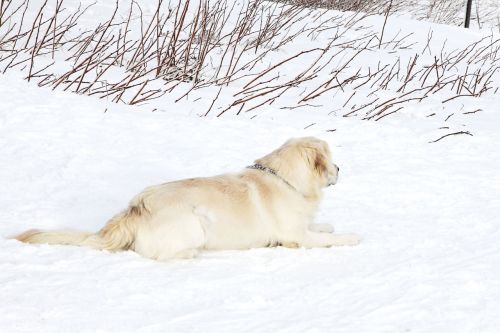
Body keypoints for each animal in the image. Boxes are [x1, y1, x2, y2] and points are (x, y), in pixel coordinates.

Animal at [13, 136, 362, 258]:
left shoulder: (300, 227)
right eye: (331, 160)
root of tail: (134, 208)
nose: (340, 168)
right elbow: (328, 238)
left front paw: (328, 224)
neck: (286, 179)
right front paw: (350, 237)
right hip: (195, 223)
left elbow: (320, 226)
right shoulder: (296, 237)